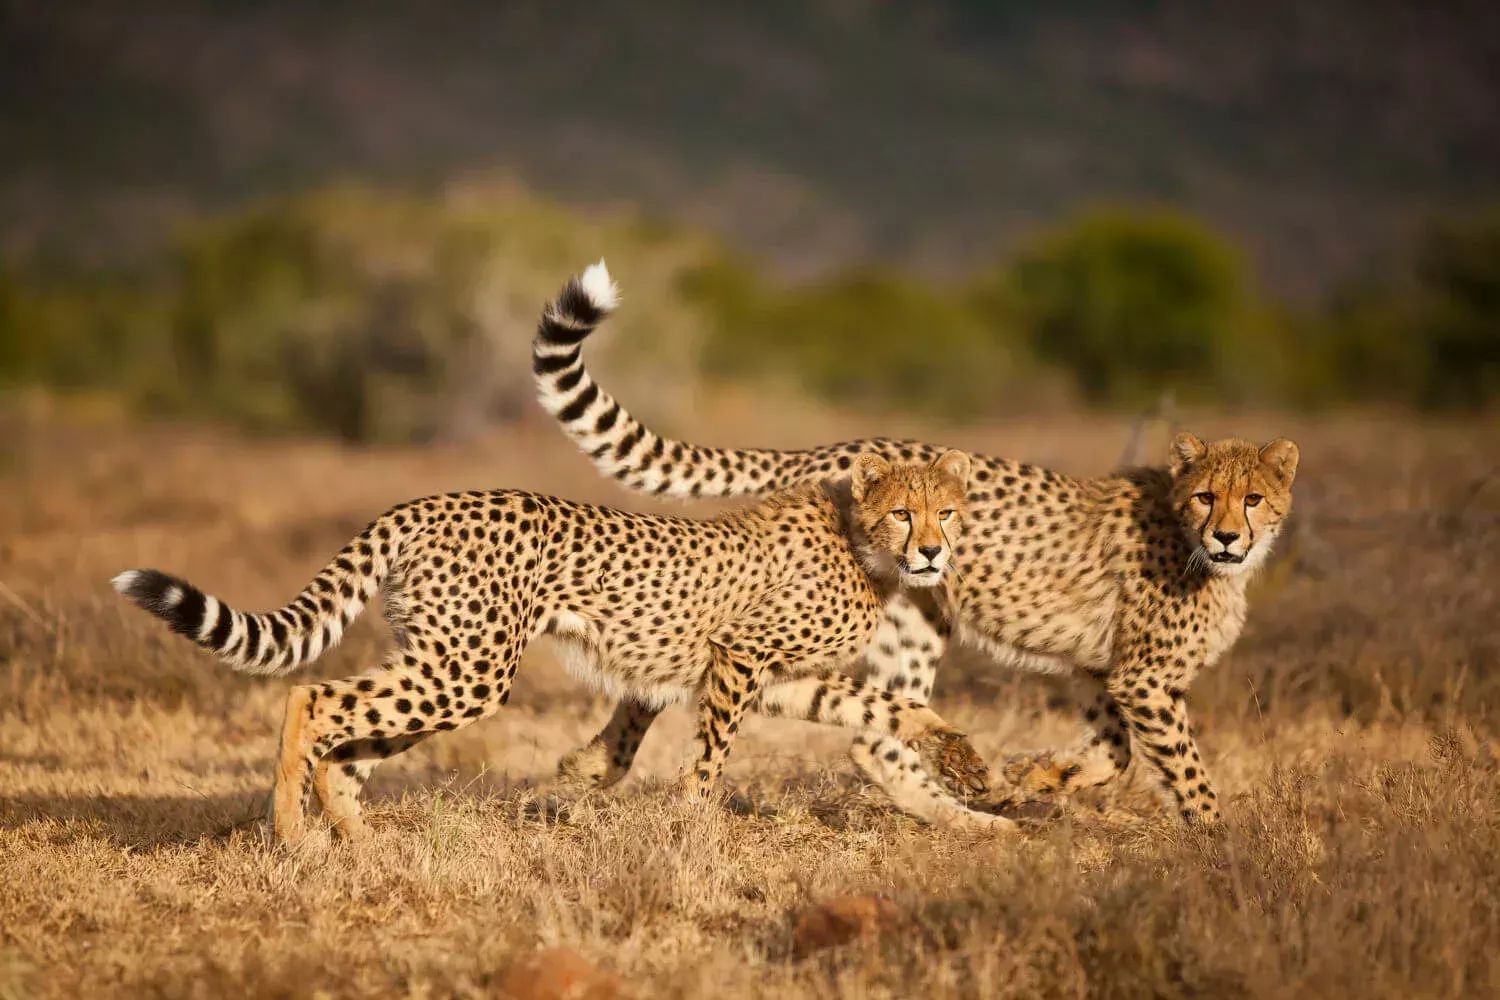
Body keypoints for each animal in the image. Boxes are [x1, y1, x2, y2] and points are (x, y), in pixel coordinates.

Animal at [114, 268, 996, 845]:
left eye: (948, 512)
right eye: (904, 512)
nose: (931, 551)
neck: (861, 543)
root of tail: (422, 502)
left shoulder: (783, 679)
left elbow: (888, 708)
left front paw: (970, 765)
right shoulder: (740, 659)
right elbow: (714, 756)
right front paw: (691, 821)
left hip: (442, 658)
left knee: (349, 740)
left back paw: (355, 838)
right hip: (468, 667)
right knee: (313, 698)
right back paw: (294, 830)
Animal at [531, 262, 1302, 827]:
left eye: (1252, 499)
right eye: (1207, 497)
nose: (1228, 534)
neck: (1193, 541)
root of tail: (841, 447)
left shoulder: (1099, 667)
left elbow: (1115, 752)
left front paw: (1035, 774)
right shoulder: (1143, 677)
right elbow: (1181, 765)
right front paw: (1219, 844)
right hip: (904, 618)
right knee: (866, 735)